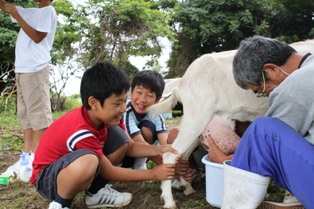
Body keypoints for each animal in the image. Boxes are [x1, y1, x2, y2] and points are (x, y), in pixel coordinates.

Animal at [148, 38, 314, 207]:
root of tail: (181, 83)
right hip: (197, 115)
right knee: (169, 155)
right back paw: (169, 202)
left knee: (182, 155)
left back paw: (187, 187)